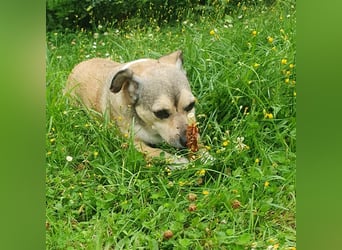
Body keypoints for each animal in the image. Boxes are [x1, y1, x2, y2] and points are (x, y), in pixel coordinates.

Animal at [65, 50, 198, 164]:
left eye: (191, 105)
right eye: (161, 113)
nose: (187, 141)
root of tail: (78, 65)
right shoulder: (133, 143)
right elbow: (157, 152)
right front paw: (179, 162)